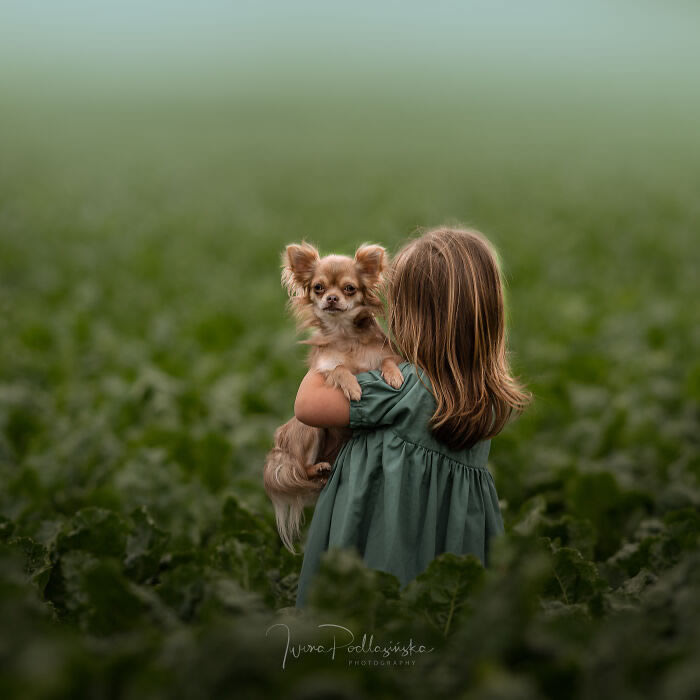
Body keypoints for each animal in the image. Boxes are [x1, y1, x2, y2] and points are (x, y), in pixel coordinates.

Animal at [262, 241, 404, 552]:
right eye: (318, 287)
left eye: (349, 288)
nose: (331, 298)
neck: (345, 334)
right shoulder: (323, 368)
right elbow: (339, 369)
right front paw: (353, 387)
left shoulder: (384, 355)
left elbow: (387, 361)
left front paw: (394, 377)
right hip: (309, 431)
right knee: (301, 469)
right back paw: (317, 468)